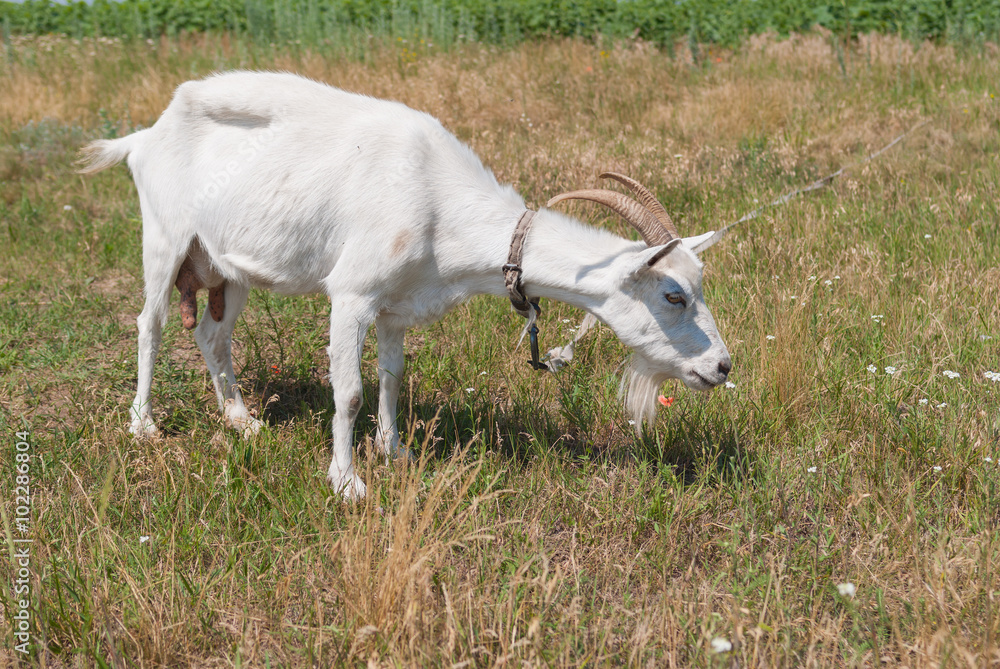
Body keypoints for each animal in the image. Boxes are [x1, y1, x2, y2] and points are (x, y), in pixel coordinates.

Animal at [80, 71, 731, 499]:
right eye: (673, 295)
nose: (722, 367)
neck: (438, 199)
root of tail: (145, 136)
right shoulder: (352, 294)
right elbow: (349, 391)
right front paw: (347, 481)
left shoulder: (397, 305)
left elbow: (392, 377)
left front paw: (394, 452)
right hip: (164, 237)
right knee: (150, 323)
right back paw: (142, 424)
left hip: (227, 264)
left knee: (215, 335)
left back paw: (241, 420)